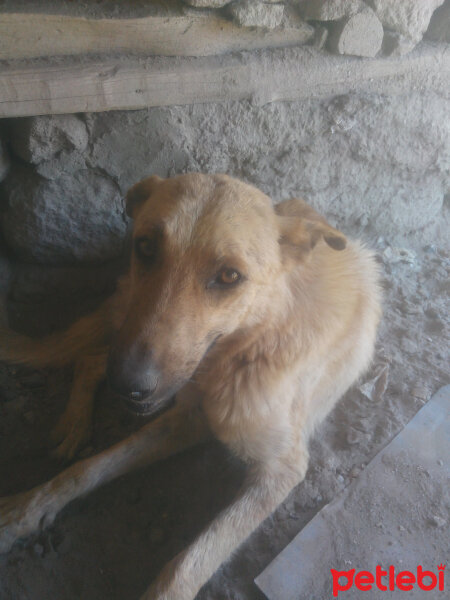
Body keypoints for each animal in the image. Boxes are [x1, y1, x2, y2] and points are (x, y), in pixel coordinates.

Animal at [0, 173, 382, 600]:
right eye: (146, 246)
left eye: (230, 276)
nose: (128, 384)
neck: (243, 352)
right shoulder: (185, 415)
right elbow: (89, 468)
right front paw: (26, 509)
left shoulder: (280, 468)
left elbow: (189, 564)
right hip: (125, 320)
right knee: (90, 358)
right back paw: (74, 423)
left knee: (92, 358)